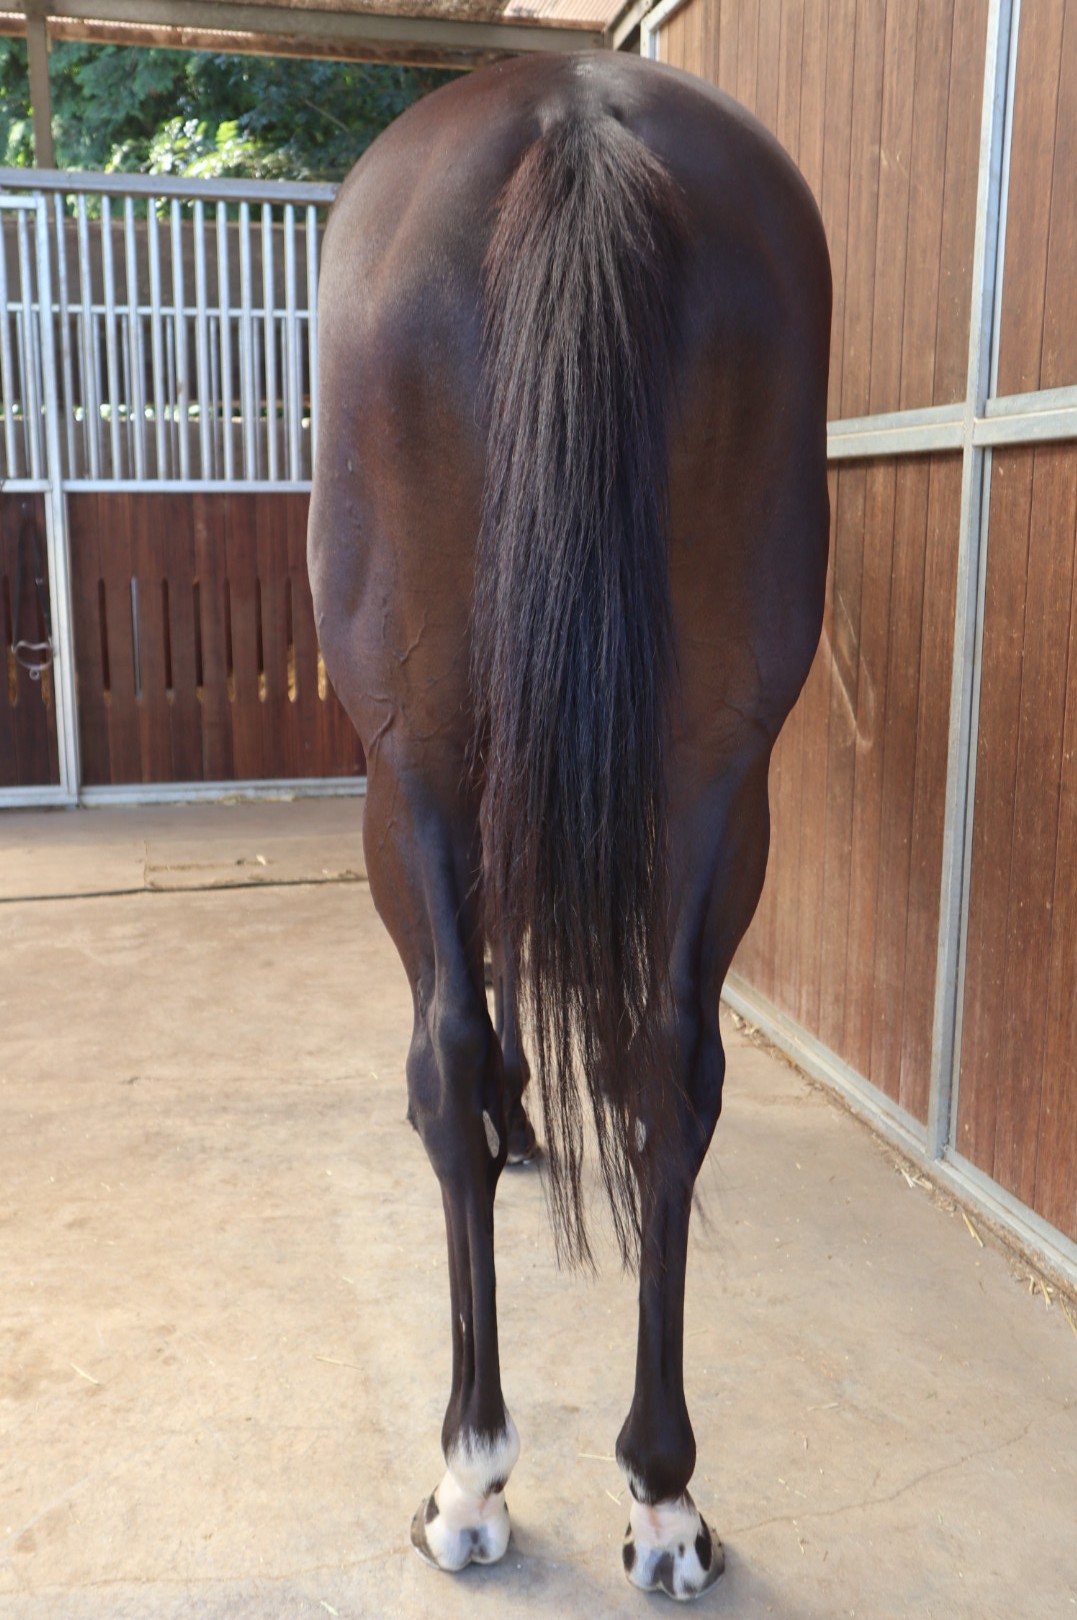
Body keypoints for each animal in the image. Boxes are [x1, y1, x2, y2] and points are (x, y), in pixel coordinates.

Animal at [308, 49, 830, 1600]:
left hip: (411, 752)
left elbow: (480, 1000)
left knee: (444, 1050)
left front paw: (519, 1117)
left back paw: (472, 1473)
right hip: (722, 761)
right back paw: (663, 1494)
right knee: (672, 1067)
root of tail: (571, 105)